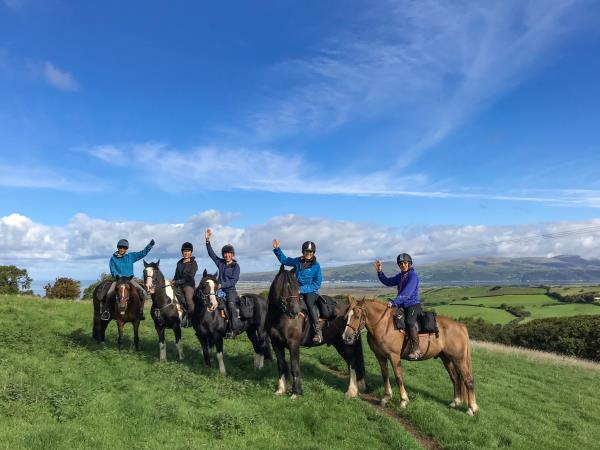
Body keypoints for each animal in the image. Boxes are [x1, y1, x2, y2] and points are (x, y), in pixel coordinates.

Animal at [266, 266, 366, 400]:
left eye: (297, 287)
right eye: (285, 286)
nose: (294, 312)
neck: (280, 317)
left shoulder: (293, 344)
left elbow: (294, 367)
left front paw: (296, 393)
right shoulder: (276, 343)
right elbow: (281, 365)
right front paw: (280, 390)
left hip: (347, 343)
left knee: (352, 363)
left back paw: (351, 391)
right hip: (339, 344)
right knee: (350, 362)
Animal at [342, 298, 478, 416]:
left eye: (357, 316)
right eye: (347, 316)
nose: (346, 337)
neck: (383, 325)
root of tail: (461, 326)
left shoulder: (394, 357)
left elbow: (399, 378)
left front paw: (403, 401)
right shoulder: (380, 356)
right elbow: (385, 376)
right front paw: (386, 398)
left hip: (459, 360)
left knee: (468, 380)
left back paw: (472, 409)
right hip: (447, 358)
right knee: (455, 378)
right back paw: (456, 402)